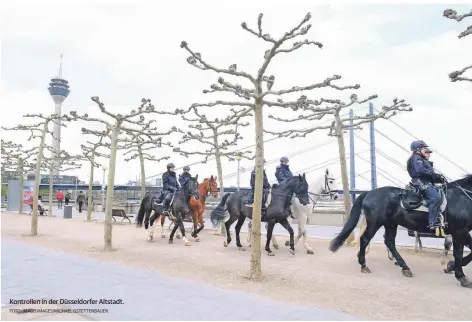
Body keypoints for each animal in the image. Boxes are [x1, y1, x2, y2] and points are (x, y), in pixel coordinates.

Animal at [328, 175, 472, 288]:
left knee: (389, 242)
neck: (463, 198)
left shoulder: (462, 232)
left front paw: (451, 266)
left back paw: (404, 267)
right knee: (365, 239)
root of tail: (369, 193)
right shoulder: (459, 231)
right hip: (375, 223)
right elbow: (459, 253)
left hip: (390, 224)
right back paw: (364, 265)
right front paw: (461, 275)